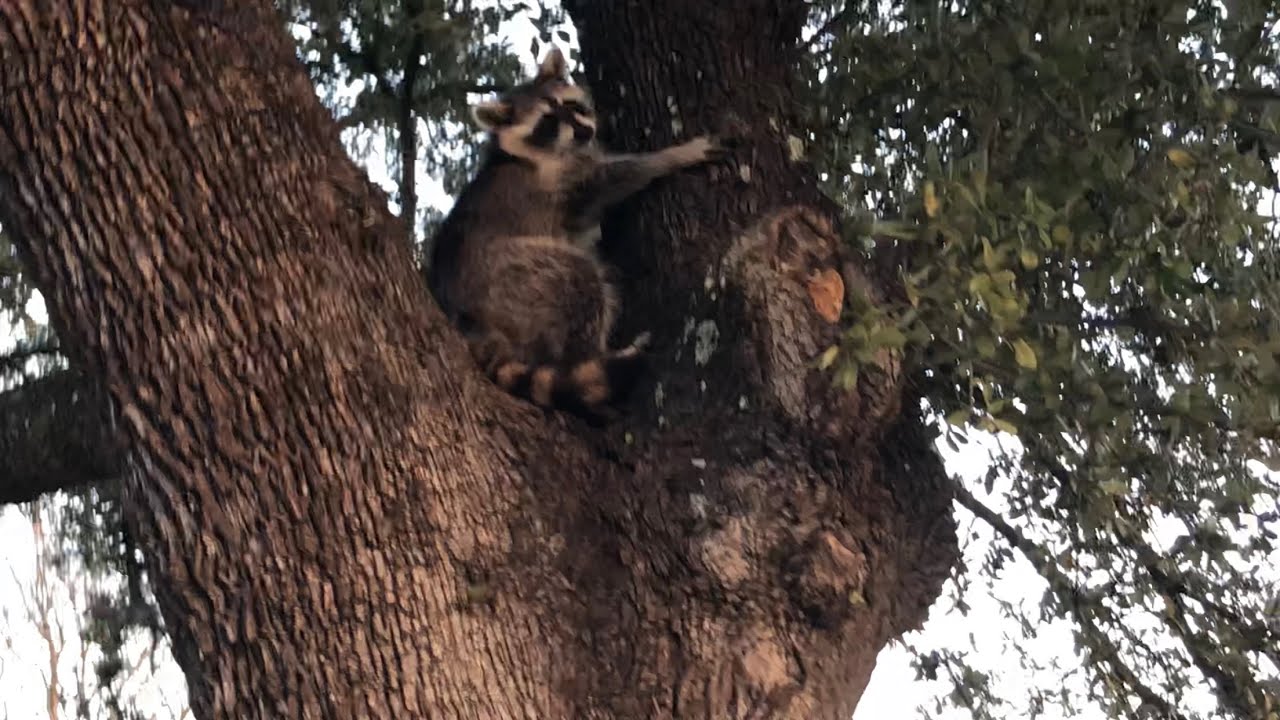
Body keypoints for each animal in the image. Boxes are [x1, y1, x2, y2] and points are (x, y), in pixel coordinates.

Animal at [428, 47, 722, 422]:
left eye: (572, 105)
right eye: (547, 123)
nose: (585, 131)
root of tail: (466, 320)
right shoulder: (558, 183)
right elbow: (612, 179)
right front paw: (673, 156)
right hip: (508, 276)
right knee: (577, 281)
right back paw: (596, 357)